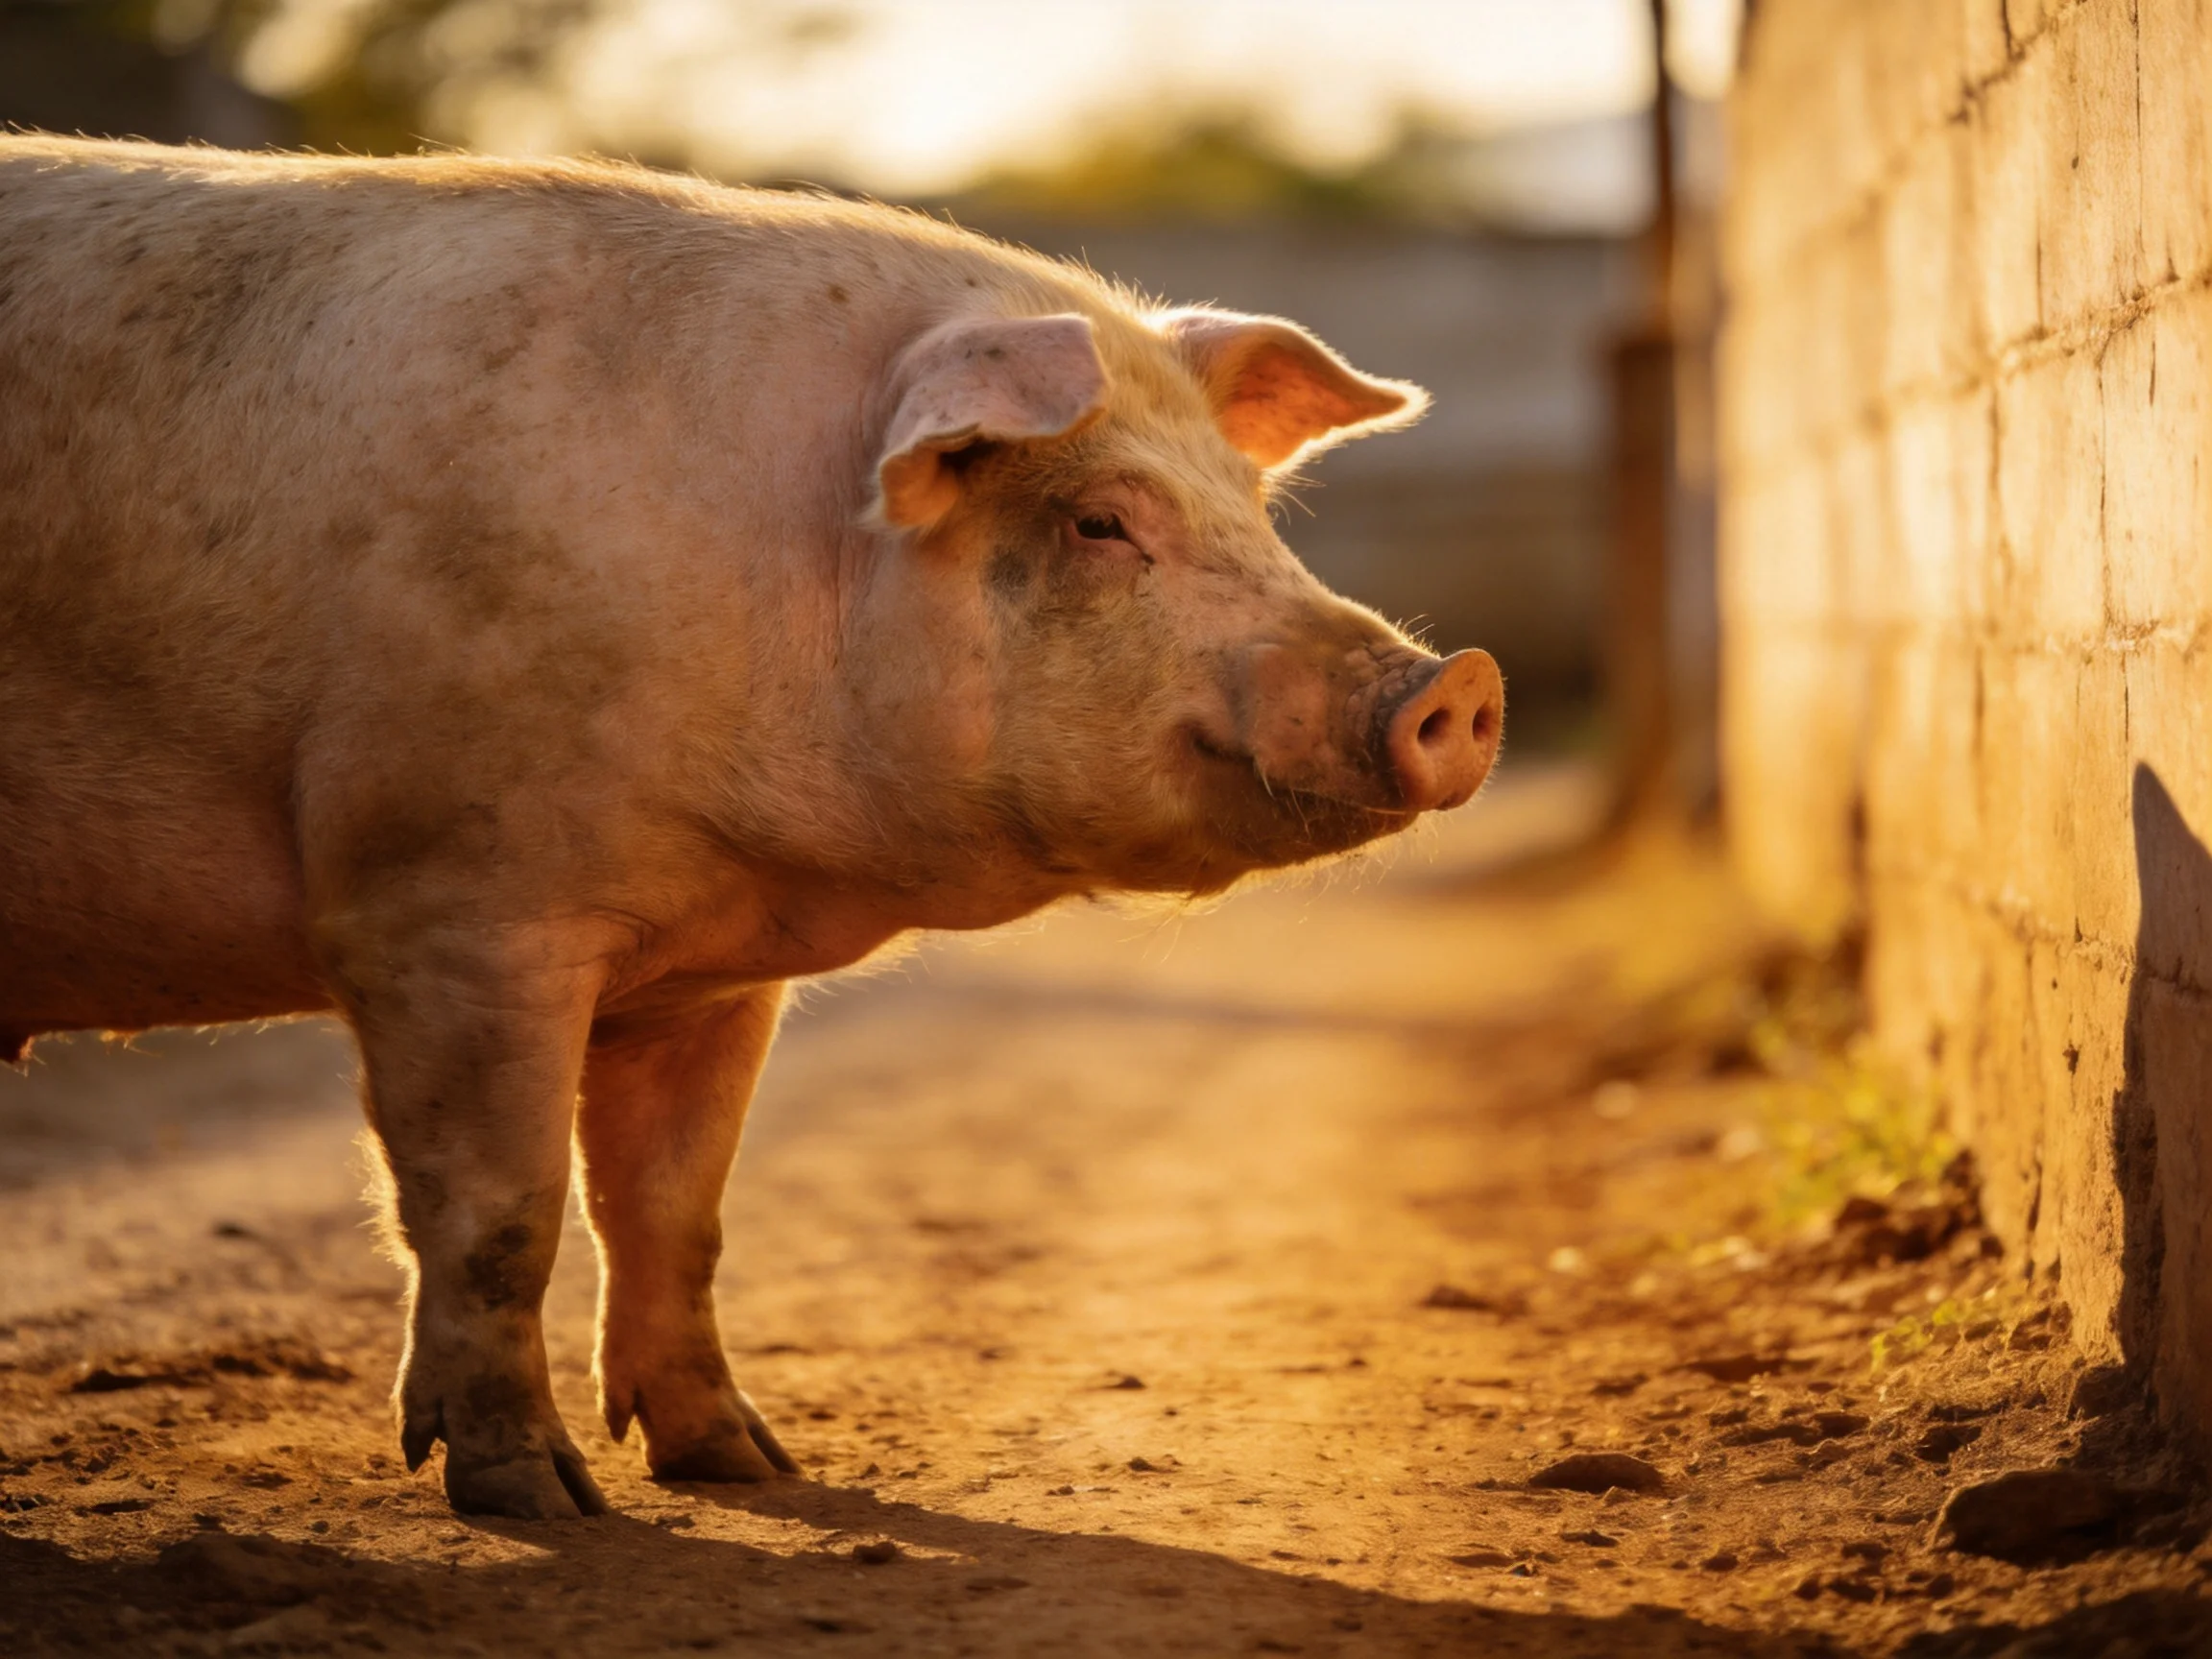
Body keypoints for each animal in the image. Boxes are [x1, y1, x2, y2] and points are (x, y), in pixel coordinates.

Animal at [0, 135, 1503, 1518]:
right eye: (1097, 521)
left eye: (1254, 510)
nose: (1457, 683)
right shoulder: (441, 904)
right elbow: (499, 1211)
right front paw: (540, 1499)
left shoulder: (708, 971)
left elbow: (676, 1214)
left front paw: (748, 1469)